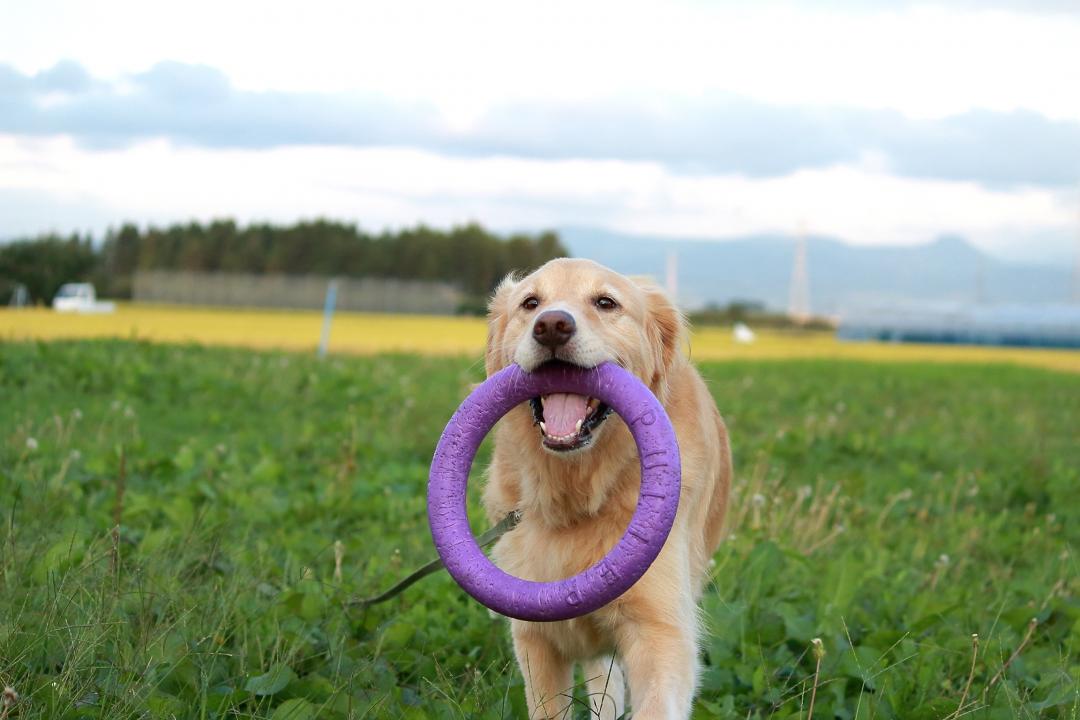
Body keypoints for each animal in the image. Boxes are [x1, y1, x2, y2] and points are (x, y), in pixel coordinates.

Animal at [483, 259, 730, 720]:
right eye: (531, 303)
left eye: (605, 302)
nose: (552, 326)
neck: (580, 489)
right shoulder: (536, 638)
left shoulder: (661, 632)